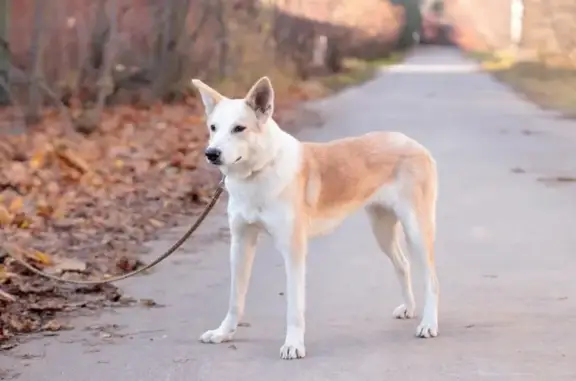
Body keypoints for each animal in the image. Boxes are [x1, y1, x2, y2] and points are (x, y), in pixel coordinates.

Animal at [191, 75, 438, 358]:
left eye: (239, 128)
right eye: (213, 127)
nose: (211, 153)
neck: (259, 172)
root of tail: (414, 143)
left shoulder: (293, 250)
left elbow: (294, 306)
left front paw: (293, 344)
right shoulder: (241, 244)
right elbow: (235, 299)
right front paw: (224, 333)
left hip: (416, 230)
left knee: (432, 279)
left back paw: (429, 324)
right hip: (382, 230)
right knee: (403, 264)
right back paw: (409, 308)